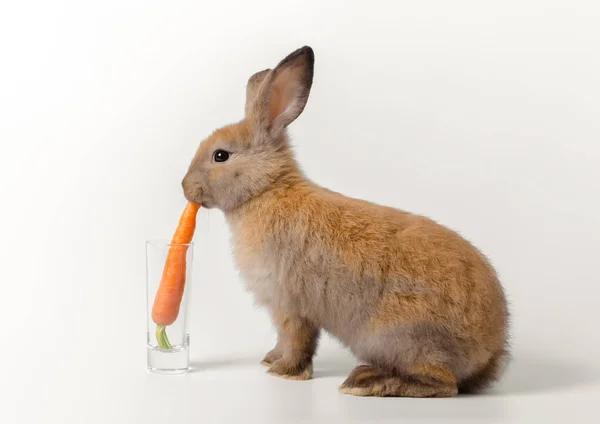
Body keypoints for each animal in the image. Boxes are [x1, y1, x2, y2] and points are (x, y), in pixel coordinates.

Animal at [182, 46, 506, 398]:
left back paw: (365, 381)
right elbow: (283, 340)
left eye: (221, 156)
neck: (266, 191)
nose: (185, 187)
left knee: (443, 384)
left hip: (397, 336)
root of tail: (489, 352)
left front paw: (284, 372)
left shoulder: (290, 305)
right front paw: (270, 359)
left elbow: (296, 341)